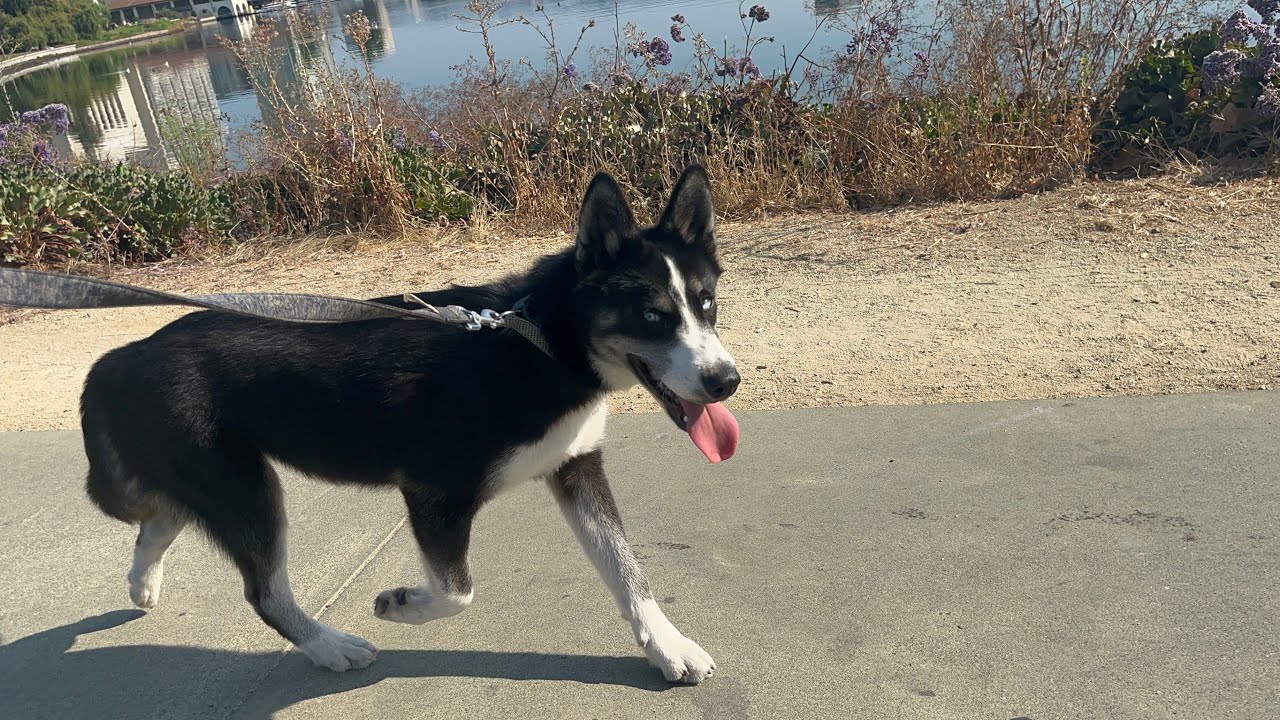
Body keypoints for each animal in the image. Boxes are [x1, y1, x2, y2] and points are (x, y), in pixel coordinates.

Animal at [80, 165, 742, 681]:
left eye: (707, 303)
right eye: (651, 315)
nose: (726, 381)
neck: (540, 346)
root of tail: (127, 354)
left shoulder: (576, 468)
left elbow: (627, 570)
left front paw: (667, 645)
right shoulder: (434, 493)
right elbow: (457, 591)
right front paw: (402, 604)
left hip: (221, 481)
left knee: (162, 517)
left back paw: (143, 579)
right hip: (246, 490)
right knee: (263, 590)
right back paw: (329, 646)